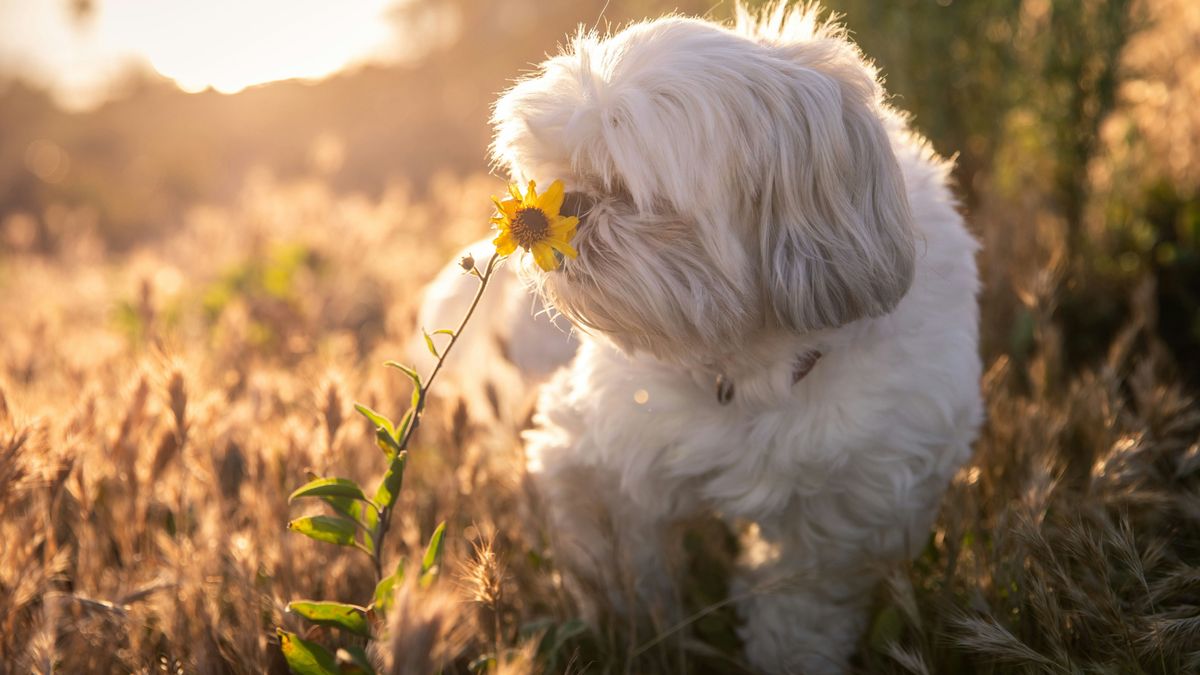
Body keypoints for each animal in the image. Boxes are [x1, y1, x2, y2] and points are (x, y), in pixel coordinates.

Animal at [417, 3, 979, 667]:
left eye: (626, 188)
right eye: (556, 175)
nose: (569, 202)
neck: (745, 364)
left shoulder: (842, 521)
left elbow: (800, 613)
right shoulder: (594, 454)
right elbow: (625, 569)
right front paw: (634, 635)